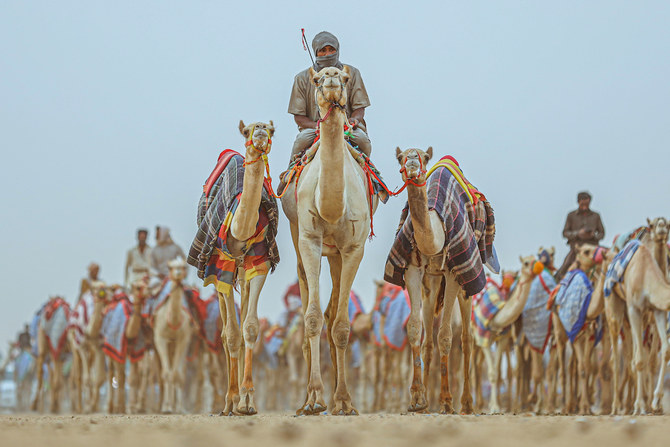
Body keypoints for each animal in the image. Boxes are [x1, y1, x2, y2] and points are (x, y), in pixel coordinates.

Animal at [280, 66, 380, 416]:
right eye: (315, 79)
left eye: (347, 79)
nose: (332, 75)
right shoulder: (309, 239)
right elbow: (311, 319)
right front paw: (314, 399)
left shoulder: (354, 248)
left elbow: (340, 325)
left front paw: (345, 402)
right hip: (298, 238)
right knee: (309, 305)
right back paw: (305, 402)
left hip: (336, 255)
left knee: (333, 310)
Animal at [392, 146, 496, 412]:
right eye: (401, 157)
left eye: (422, 156)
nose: (412, 162)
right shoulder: (413, 270)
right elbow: (415, 329)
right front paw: (417, 399)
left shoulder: (453, 272)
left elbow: (446, 336)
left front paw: (447, 402)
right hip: (431, 283)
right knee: (428, 341)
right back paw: (427, 401)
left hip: (465, 286)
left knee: (467, 339)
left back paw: (467, 403)